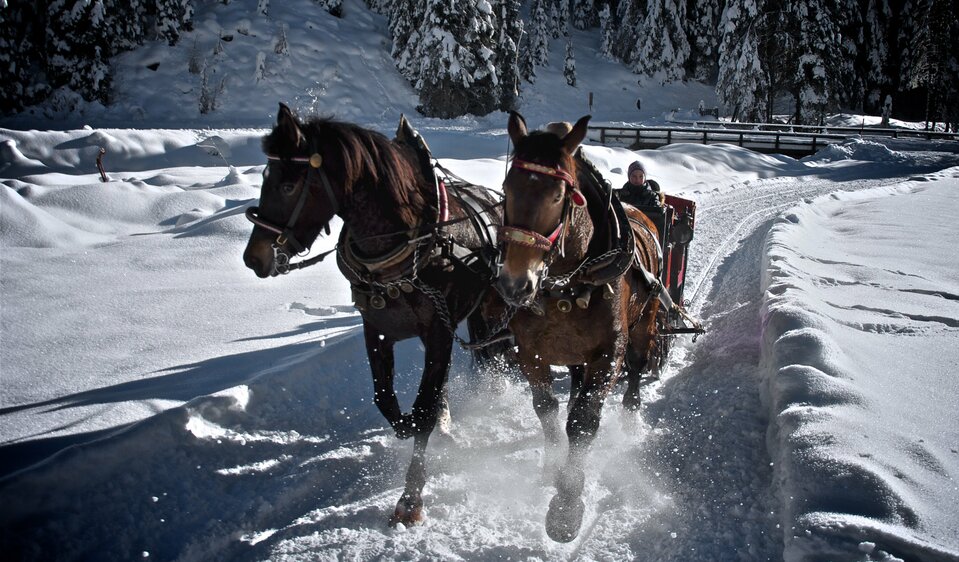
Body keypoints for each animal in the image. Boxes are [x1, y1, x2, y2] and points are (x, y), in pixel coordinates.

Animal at [243, 104, 506, 526]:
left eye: (287, 186)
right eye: (266, 177)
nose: (255, 258)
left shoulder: (439, 329)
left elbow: (424, 408)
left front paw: (411, 498)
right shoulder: (377, 328)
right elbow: (388, 401)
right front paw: (417, 427)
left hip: (492, 310)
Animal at [495, 112, 664, 542]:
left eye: (559, 196)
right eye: (506, 188)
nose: (515, 284)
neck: (566, 285)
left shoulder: (608, 354)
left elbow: (584, 422)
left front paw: (567, 505)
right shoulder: (530, 351)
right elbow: (547, 410)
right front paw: (553, 467)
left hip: (645, 323)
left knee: (636, 370)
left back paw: (630, 417)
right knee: (574, 383)